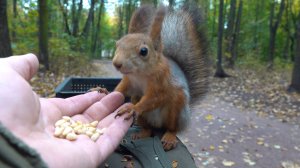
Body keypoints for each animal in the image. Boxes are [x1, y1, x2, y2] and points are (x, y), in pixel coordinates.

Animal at [112, 4, 209, 151]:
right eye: (117, 44)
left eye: (144, 51)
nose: (117, 64)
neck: (139, 74)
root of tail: (157, 125)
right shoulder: (129, 81)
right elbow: (121, 90)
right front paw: (103, 91)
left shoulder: (162, 82)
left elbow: (154, 98)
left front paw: (134, 108)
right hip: (141, 110)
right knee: (148, 128)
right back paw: (142, 133)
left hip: (177, 109)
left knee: (173, 128)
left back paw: (169, 138)